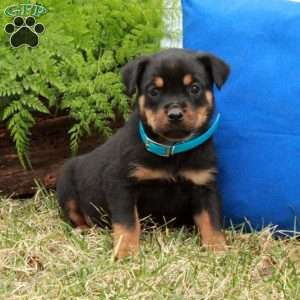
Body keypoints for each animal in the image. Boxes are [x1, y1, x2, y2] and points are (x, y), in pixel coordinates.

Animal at [56, 48, 230, 258]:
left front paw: (218, 249)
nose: (175, 114)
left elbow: (211, 220)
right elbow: (128, 222)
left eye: (195, 88)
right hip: (66, 185)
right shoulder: (120, 183)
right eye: (154, 91)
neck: (173, 149)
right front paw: (126, 252)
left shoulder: (204, 183)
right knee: (76, 214)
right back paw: (83, 230)